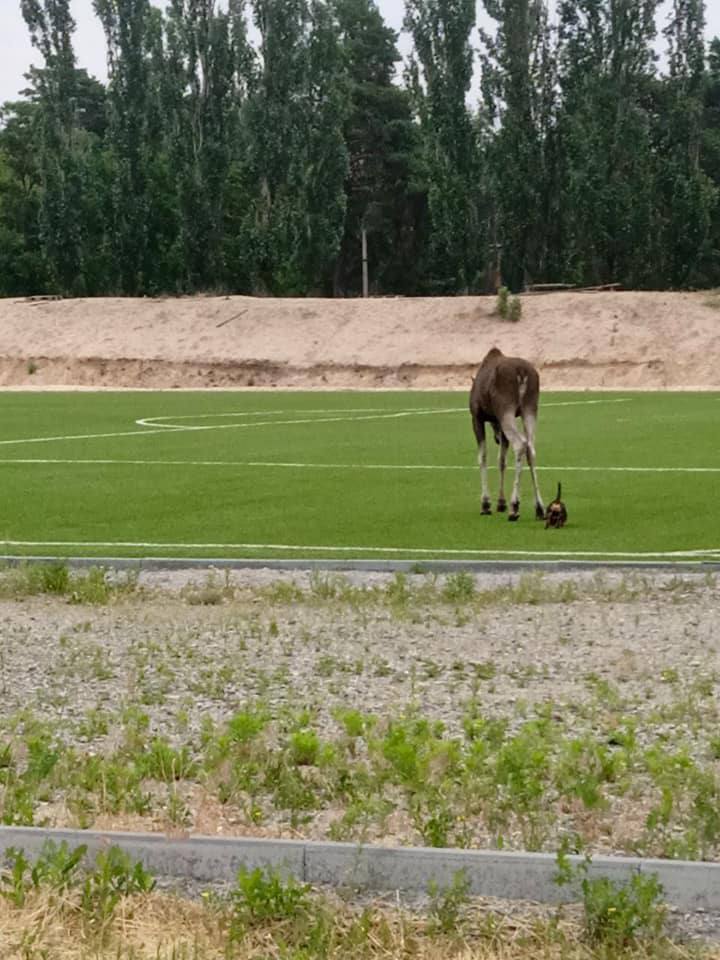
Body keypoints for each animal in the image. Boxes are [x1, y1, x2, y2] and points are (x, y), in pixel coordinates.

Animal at [470, 346, 544, 520]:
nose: (496, 438)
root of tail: (522, 373)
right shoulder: (497, 421)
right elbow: (501, 461)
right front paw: (500, 503)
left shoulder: (476, 416)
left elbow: (482, 457)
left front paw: (486, 503)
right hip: (530, 409)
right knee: (531, 448)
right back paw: (539, 507)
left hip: (505, 409)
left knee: (520, 444)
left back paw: (514, 506)